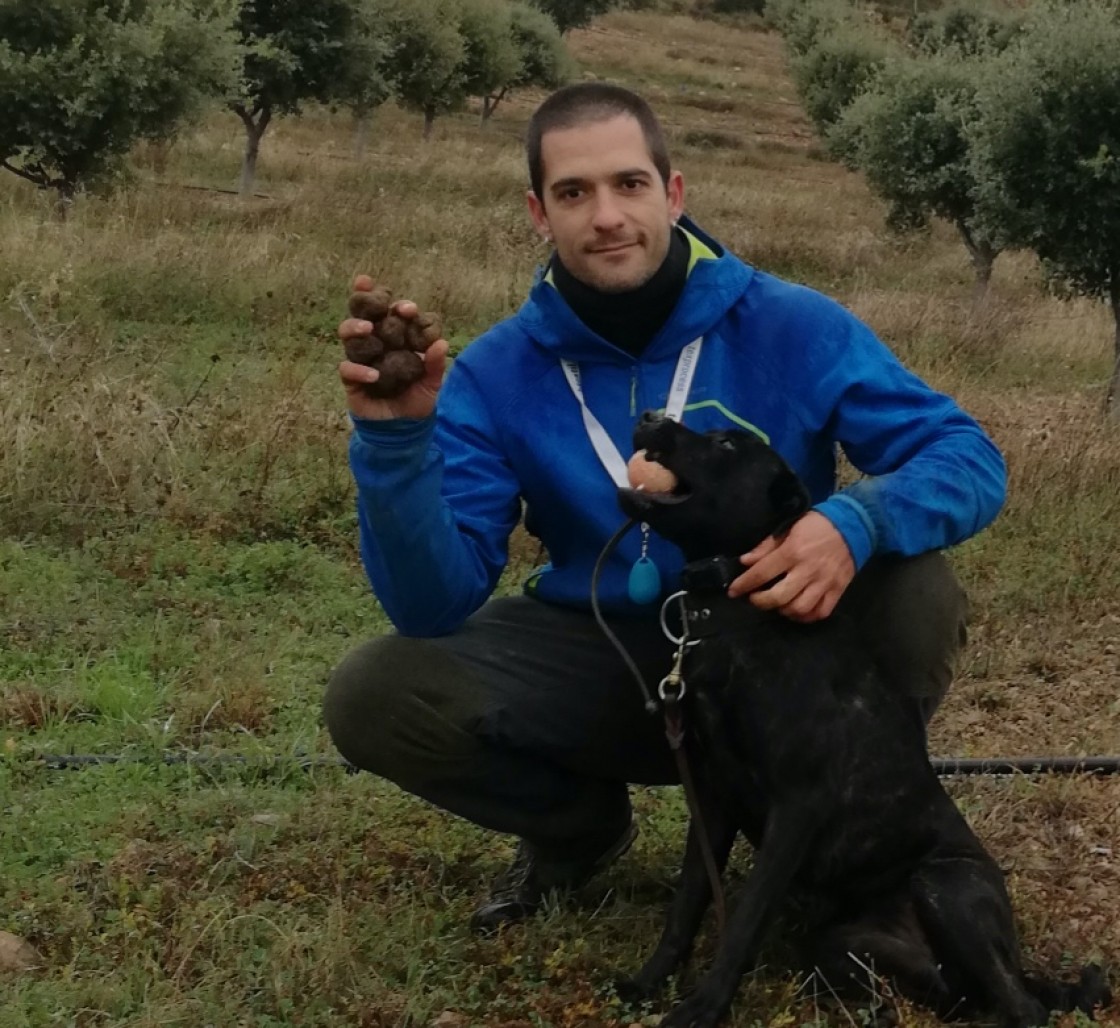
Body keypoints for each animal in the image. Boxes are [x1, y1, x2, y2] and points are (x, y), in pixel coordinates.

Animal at [618, 414, 1106, 1028]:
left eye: (727, 442)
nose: (650, 417)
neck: (740, 618)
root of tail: (1017, 959)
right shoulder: (711, 796)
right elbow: (687, 902)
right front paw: (650, 980)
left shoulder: (796, 807)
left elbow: (744, 920)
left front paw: (704, 1007)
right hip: (844, 945)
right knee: (947, 995)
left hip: (943, 886)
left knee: (1023, 1007)